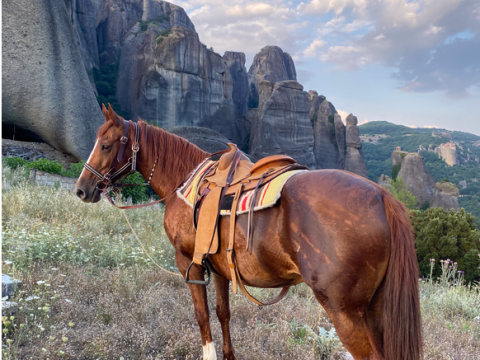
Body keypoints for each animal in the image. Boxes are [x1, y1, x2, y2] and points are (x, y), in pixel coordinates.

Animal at [73, 104, 422, 360]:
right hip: (376, 308)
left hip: (345, 312)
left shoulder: (188, 262)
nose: (81, 189)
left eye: (105, 145)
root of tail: (383, 197)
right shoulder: (219, 269)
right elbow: (222, 313)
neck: (182, 182)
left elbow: (202, 316)